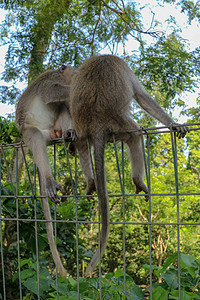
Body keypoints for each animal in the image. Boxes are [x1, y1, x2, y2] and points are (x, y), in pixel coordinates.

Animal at [15, 65, 95, 276]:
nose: (78, 75)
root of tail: (52, 133)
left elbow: (64, 103)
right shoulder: (51, 79)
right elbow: (51, 92)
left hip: (53, 133)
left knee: (62, 108)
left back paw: (69, 134)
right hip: (33, 134)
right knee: (35, 136)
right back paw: (49, 179)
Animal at [69, 54, 190, 276]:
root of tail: (97, 121)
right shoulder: (127, 70)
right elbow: (143, 98)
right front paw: (173, 123)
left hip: (85, 126)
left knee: (83, 143)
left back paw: (90, 180)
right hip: (120, 124)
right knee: (135, 136)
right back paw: (138, 180)